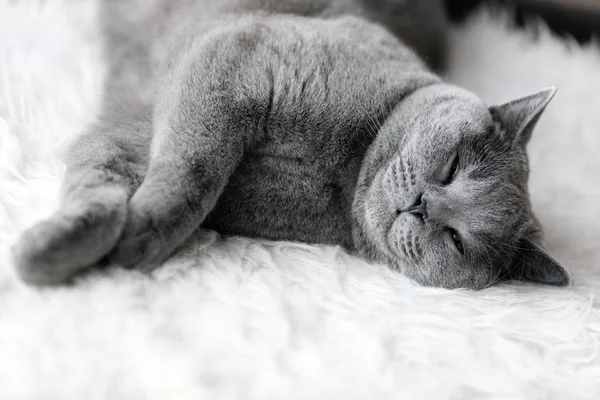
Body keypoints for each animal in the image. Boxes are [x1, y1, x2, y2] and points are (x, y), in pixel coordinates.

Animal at [10, 0, 572, 290]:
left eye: (456, 241)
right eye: (453, 165)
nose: (421, 206)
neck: (342, 173)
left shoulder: (130, 137)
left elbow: (103, 185)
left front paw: (62, 251)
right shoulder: (236, 58)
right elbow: (193, 170)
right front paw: (134, 234)